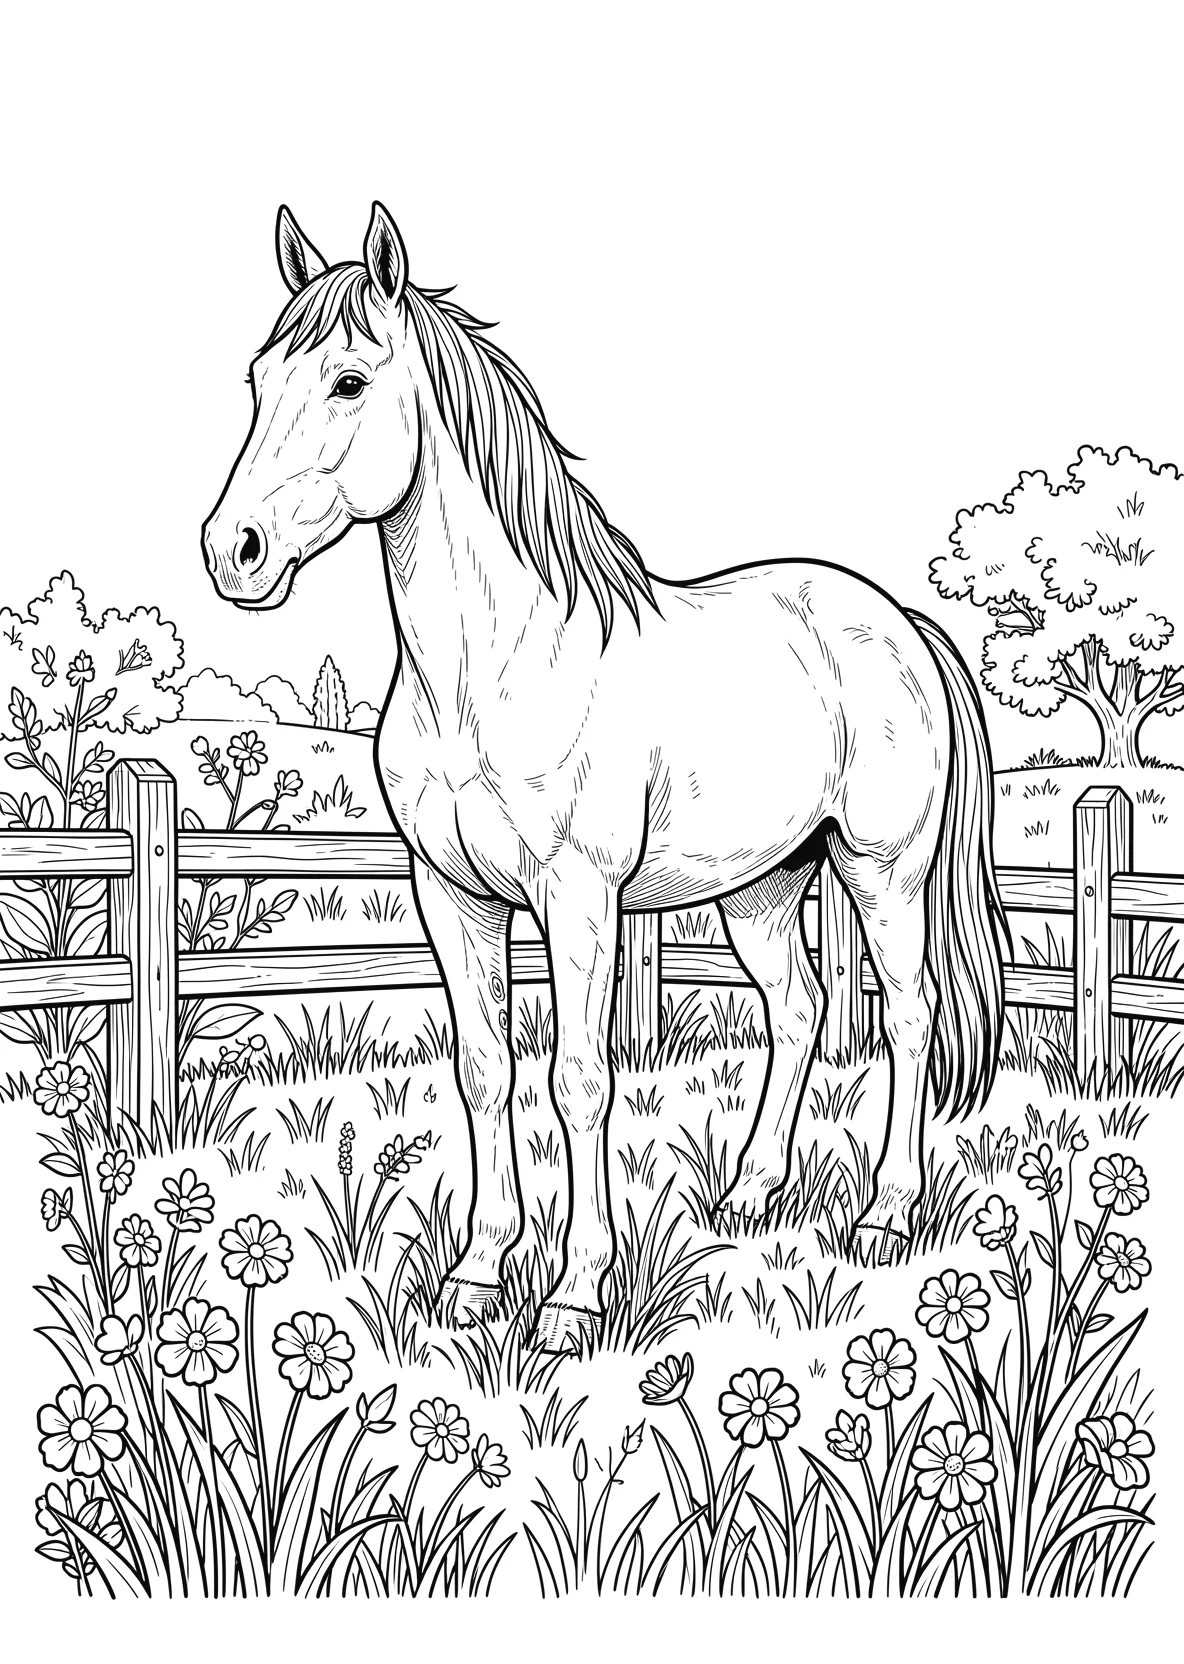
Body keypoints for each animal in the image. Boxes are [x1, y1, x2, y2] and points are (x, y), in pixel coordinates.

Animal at [203, 202, 1007, 1353]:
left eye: (349, 382)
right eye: (259, 380)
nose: (235, 552)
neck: (490, 669)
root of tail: (892, 621)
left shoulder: (576, 897)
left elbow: (578, 1078)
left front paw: (573, 1295)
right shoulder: (451, 896)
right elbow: (484, 1070)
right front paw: (476, 1276)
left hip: (880, 868)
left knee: (906, 1013)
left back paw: (886, 1215)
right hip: (763, 884)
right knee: (798, 1009)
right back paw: (749, 1194)